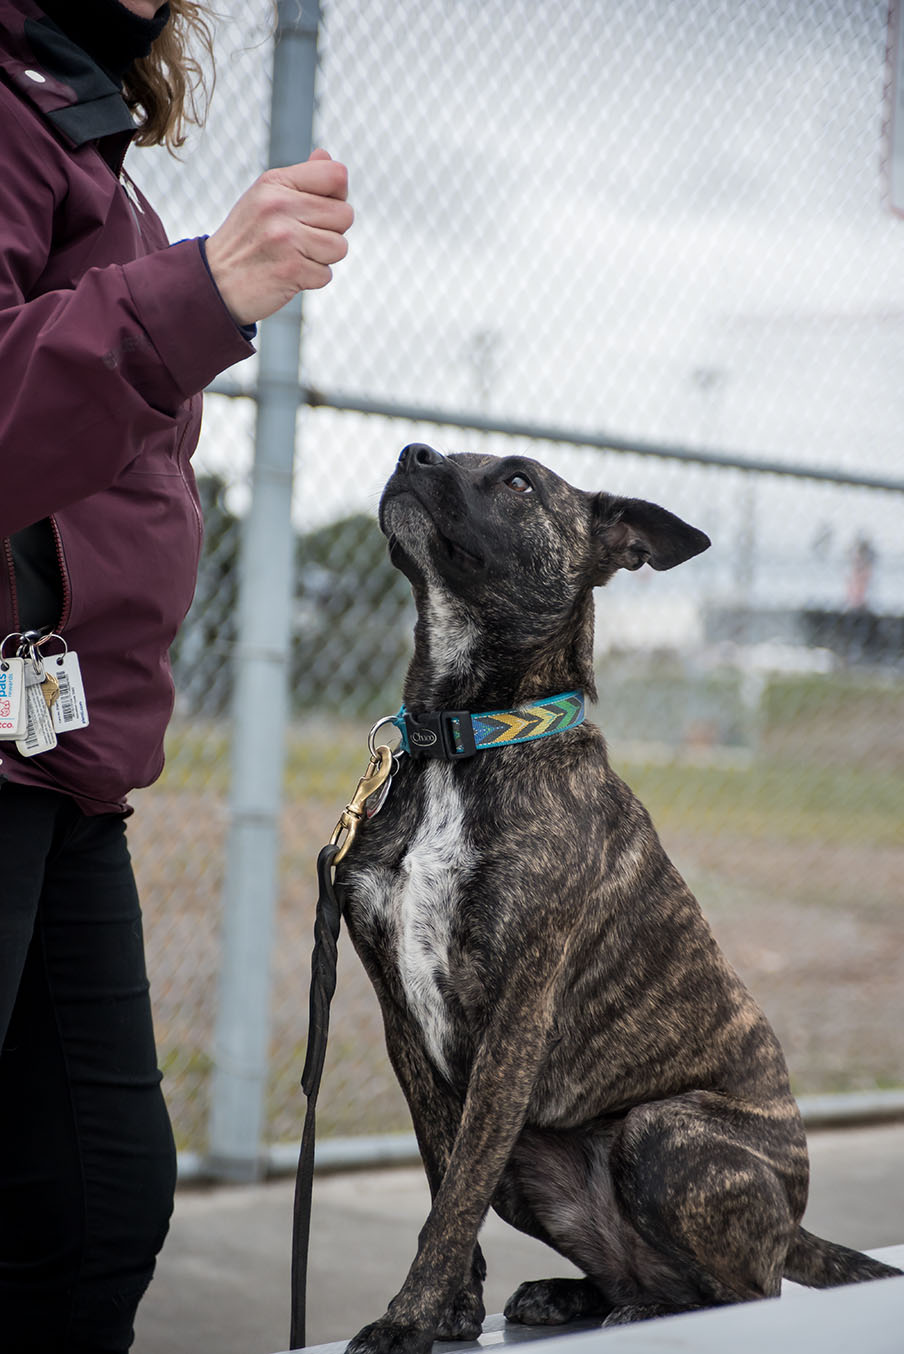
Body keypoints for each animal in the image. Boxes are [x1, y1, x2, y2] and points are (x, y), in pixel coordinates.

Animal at [336, 444, 898, 1354]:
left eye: (518, 479)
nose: (412, 454)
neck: (466, 740)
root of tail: (795, 1221)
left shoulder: (514, 1020)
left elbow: (452, 1198)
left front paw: (406, 1320)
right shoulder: (402, 1022)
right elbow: (442, 1176)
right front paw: (451, 1310)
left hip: (662, 1131)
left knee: (747, 1292)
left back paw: (647, 1308)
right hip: (534, 1164)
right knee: (635, 1268)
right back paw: (576, 1296)